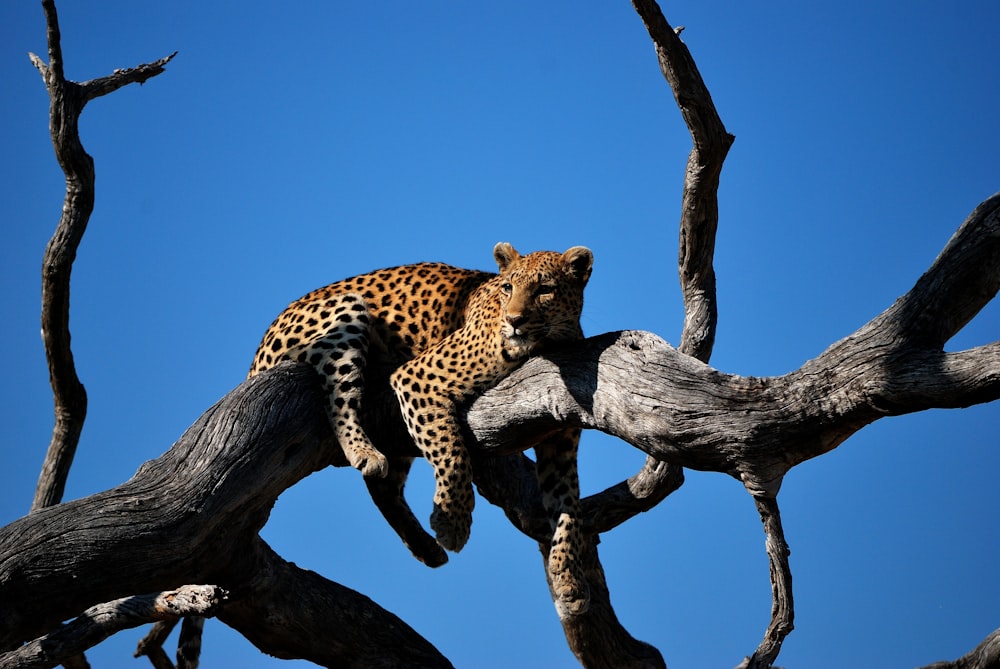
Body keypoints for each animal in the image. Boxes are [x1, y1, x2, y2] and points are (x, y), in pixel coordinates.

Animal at [250, 243, 592, 612]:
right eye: (507, 288)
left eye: (545, 290)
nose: (514, 321)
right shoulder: (417, 378)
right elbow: (452, 451)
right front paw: (453, 523)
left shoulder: (560, 444)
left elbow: (568, 507)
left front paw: (570, 580)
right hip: (346, 312)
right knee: (338, 396)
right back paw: (363, 451)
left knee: (383, 487)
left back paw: (425, 547)